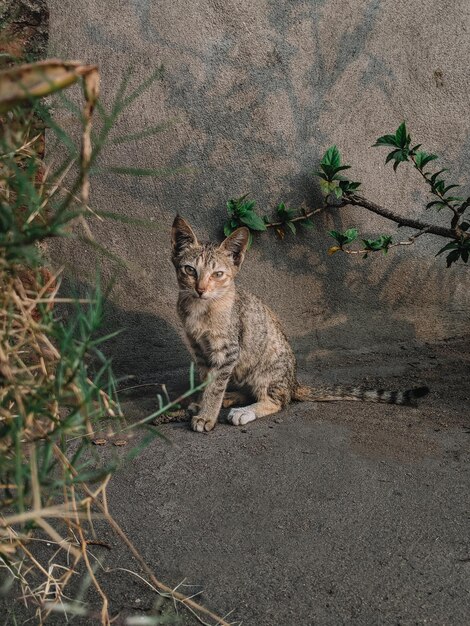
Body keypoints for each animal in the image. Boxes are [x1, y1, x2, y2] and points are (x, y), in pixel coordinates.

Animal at [172, 214, 430, 428]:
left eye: (218, 274)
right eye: (190, 270)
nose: (201, 289)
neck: (201, 308)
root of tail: (294, 381)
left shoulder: (228, 350)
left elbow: (215, 384)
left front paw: (207, 416)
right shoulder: (199, 349)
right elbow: (206, 380)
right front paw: (201, 404)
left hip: (267, 365)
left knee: (279, 400)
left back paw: (245, 410)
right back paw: (233, 397)